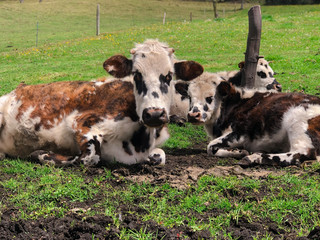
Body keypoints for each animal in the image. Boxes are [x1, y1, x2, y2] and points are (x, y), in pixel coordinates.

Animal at [0, 39, 202, 167]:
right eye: (136, 75)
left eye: (169, 75)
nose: (153, 114)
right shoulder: (79, 122)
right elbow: (89, 158)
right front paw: (41, 154)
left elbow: (160, 156)